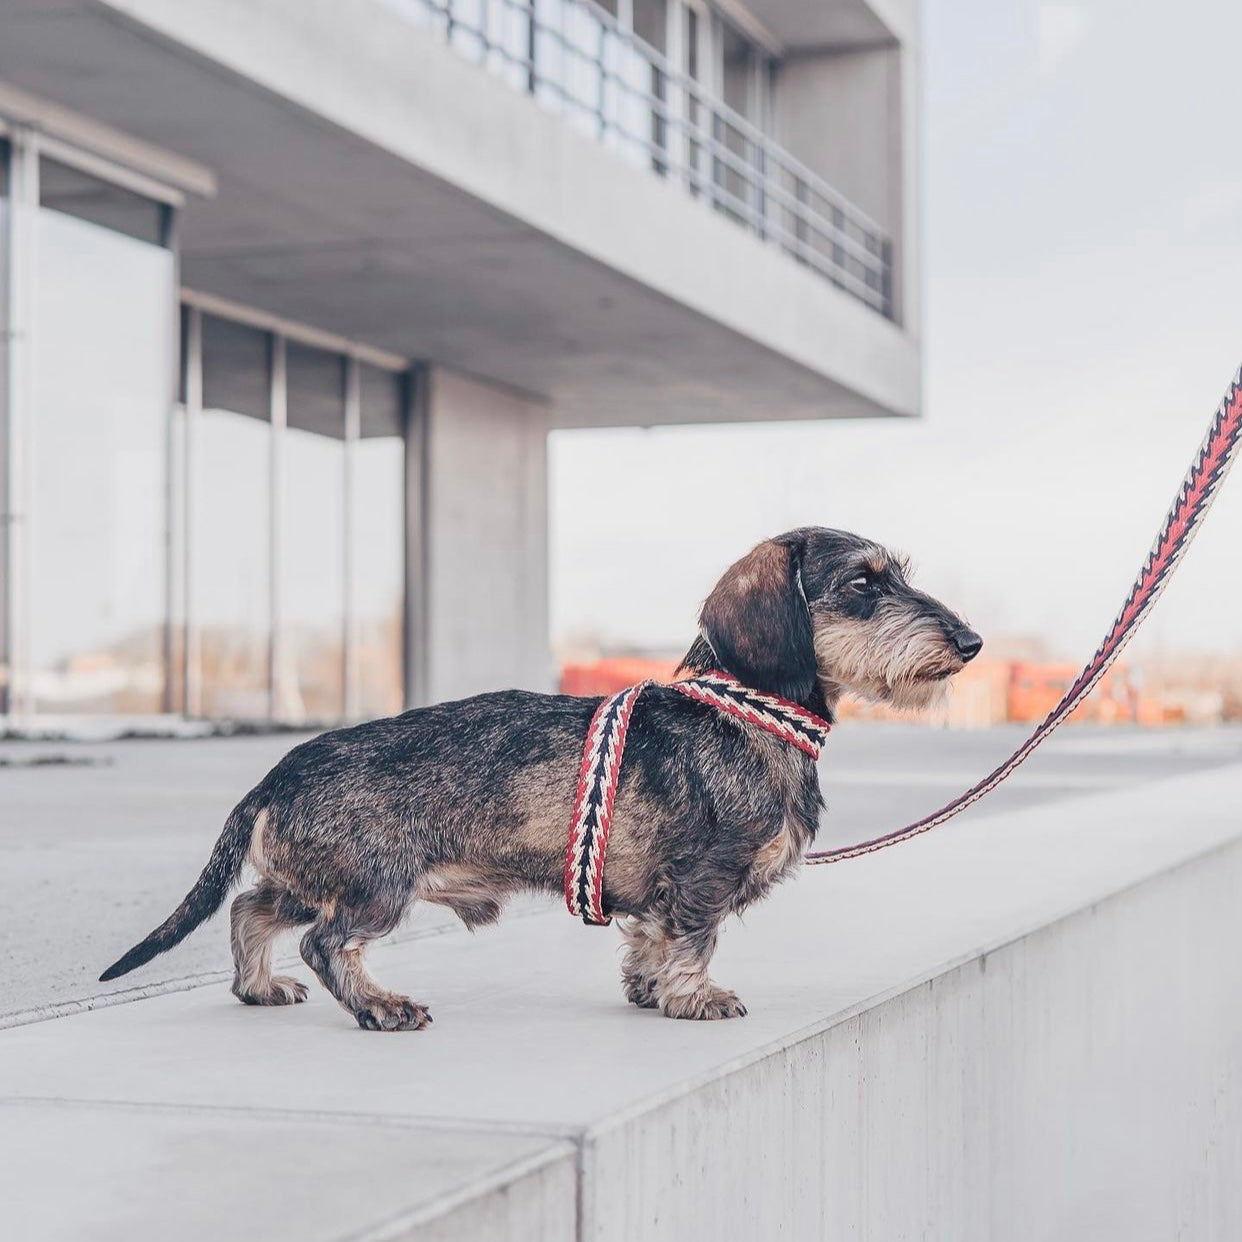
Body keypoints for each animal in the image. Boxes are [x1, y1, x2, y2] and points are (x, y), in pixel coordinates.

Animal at [99, 529, 978, 1033]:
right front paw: (694, 997)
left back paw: (258, 988)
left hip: (315, 875)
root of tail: (278, 771)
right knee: (324, 941)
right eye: (863, 583)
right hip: (375, 886)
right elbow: (694, 936)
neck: (744, 709)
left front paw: (648, 986)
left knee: (250, 908)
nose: (970, 641)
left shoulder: (662, 889)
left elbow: (651, 936)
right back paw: (381, 1005)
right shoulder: (705, 872)